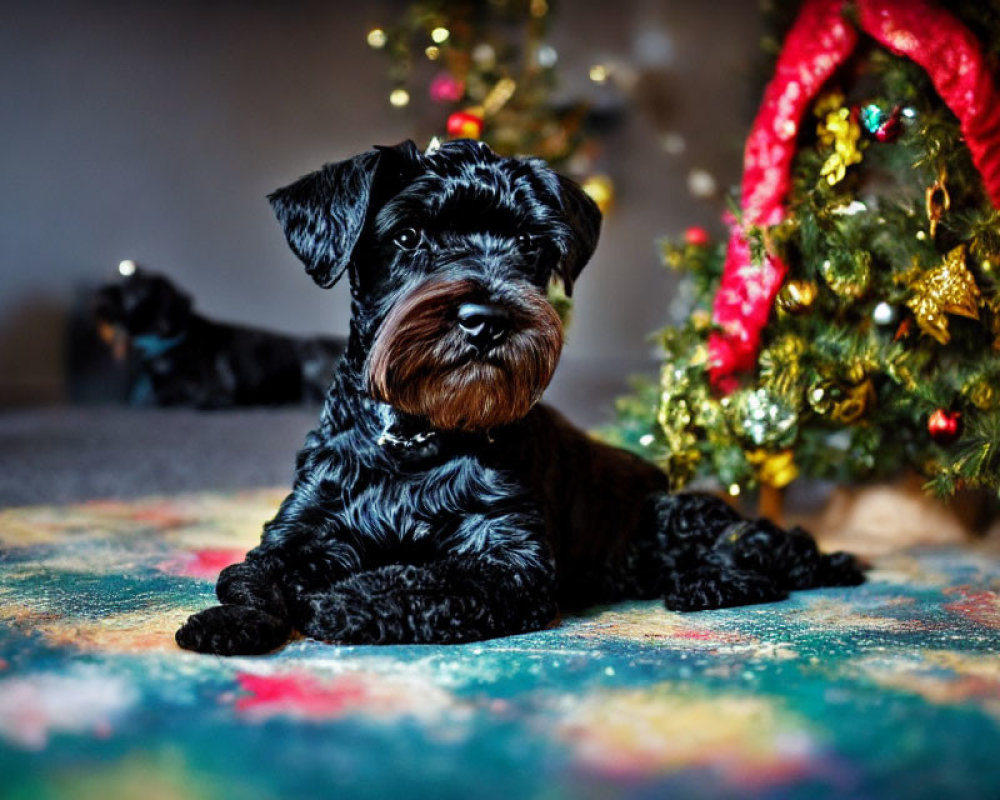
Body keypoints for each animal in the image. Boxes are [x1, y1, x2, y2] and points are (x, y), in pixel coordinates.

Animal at [174, 141, 860, 652]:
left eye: (530, 243)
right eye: (408, 236)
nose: (485, 320)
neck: (416, 440)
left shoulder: (511, 561)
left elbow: (427, 581)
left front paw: (346, 601)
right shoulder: (297, 533)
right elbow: (249, 578)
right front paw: (226, 623)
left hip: (676, 514)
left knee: (765, 557)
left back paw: (708, 586)